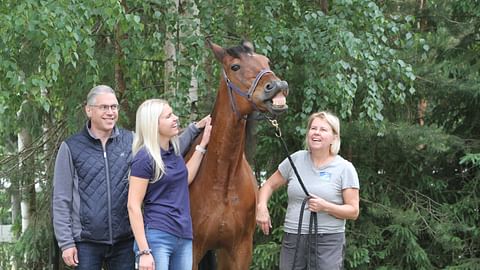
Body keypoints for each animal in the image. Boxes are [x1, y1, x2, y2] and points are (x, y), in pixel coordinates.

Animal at [186, 40, 286, 270]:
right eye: (235, 67)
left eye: (266, 61)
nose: (277, 86)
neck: (223, 181)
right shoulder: (192, 249)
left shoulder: (238, 250)